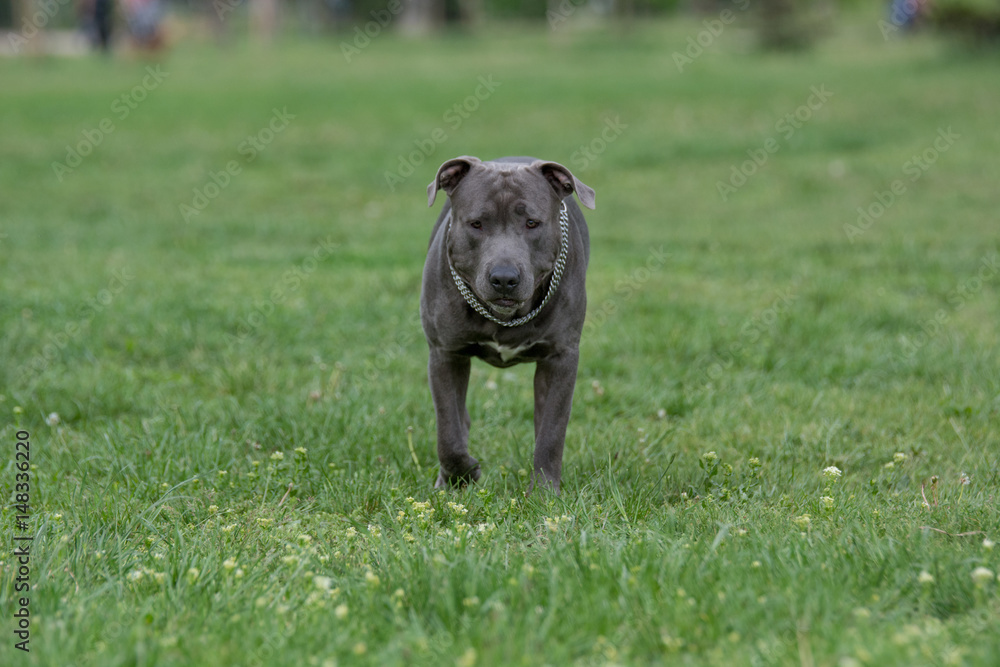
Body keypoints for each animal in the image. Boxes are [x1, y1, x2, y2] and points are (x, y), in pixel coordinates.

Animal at [420, 155, 592, 490]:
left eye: (532, 223)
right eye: (476, 223)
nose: (504, 278)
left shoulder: (561, 358)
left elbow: (551, 431)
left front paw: (544, 492)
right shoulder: (445, 354)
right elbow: (448, 432)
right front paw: (460, 476)